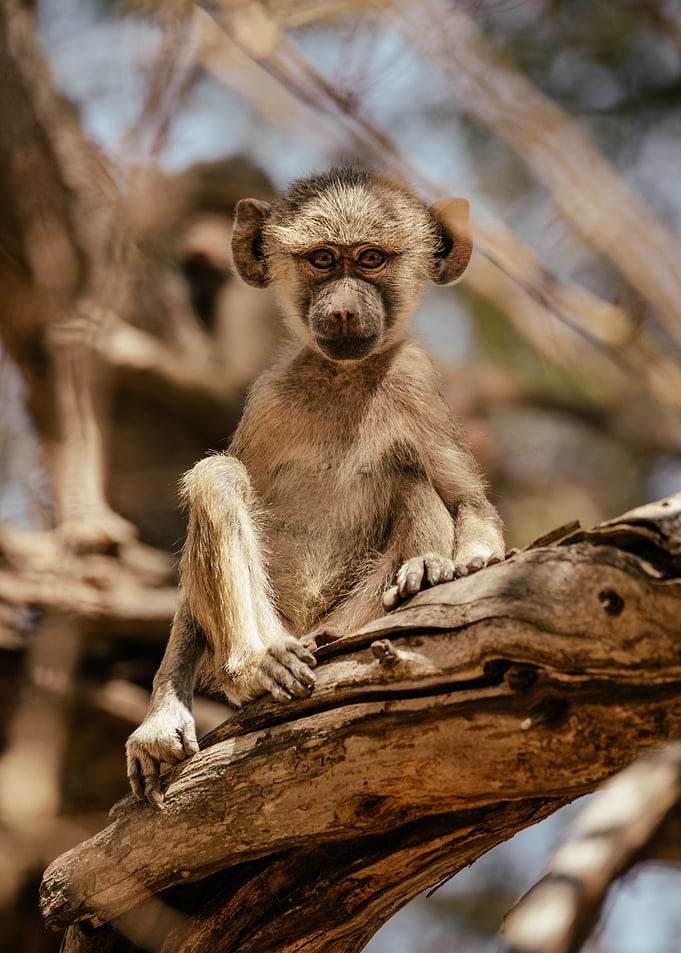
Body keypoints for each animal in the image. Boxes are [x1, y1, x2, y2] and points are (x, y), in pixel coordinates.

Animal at [126, 167, 505, 805]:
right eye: (323, 260)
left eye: (371, 259)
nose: (346, 311)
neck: (343, 377)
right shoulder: (266, 399)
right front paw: (161, 720)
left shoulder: (417, 385)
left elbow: (466, 499)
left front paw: (467, 565)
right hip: (277, 622)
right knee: (217, 476)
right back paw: (255, 667)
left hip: (352, 616)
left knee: (411, 477)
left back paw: (420, 573)